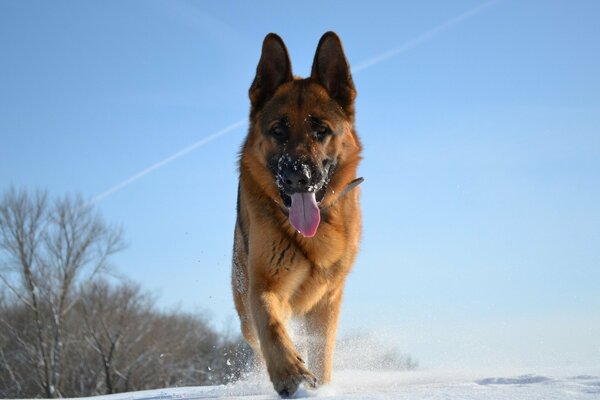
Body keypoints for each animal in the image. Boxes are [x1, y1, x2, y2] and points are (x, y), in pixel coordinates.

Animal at [232, 32, 364, 396]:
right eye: (278, 131)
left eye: (321, 130)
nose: (297, 177)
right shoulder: (264, 287)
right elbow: (272, 327)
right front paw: (290, 374)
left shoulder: (328, 300)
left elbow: (322, 353)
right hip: (244, 312)